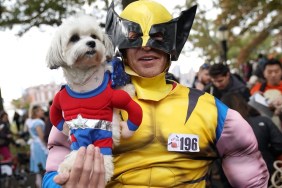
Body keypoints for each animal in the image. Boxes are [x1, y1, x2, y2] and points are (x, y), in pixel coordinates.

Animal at [47, 13, 142, 183]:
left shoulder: (103, 128)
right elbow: (76, 147)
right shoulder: (78, 132)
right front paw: (68, 166)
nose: (91, 43)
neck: (85, 85)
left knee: (125, 89)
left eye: (94, 36)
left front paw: (103, 170)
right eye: (74, 38)